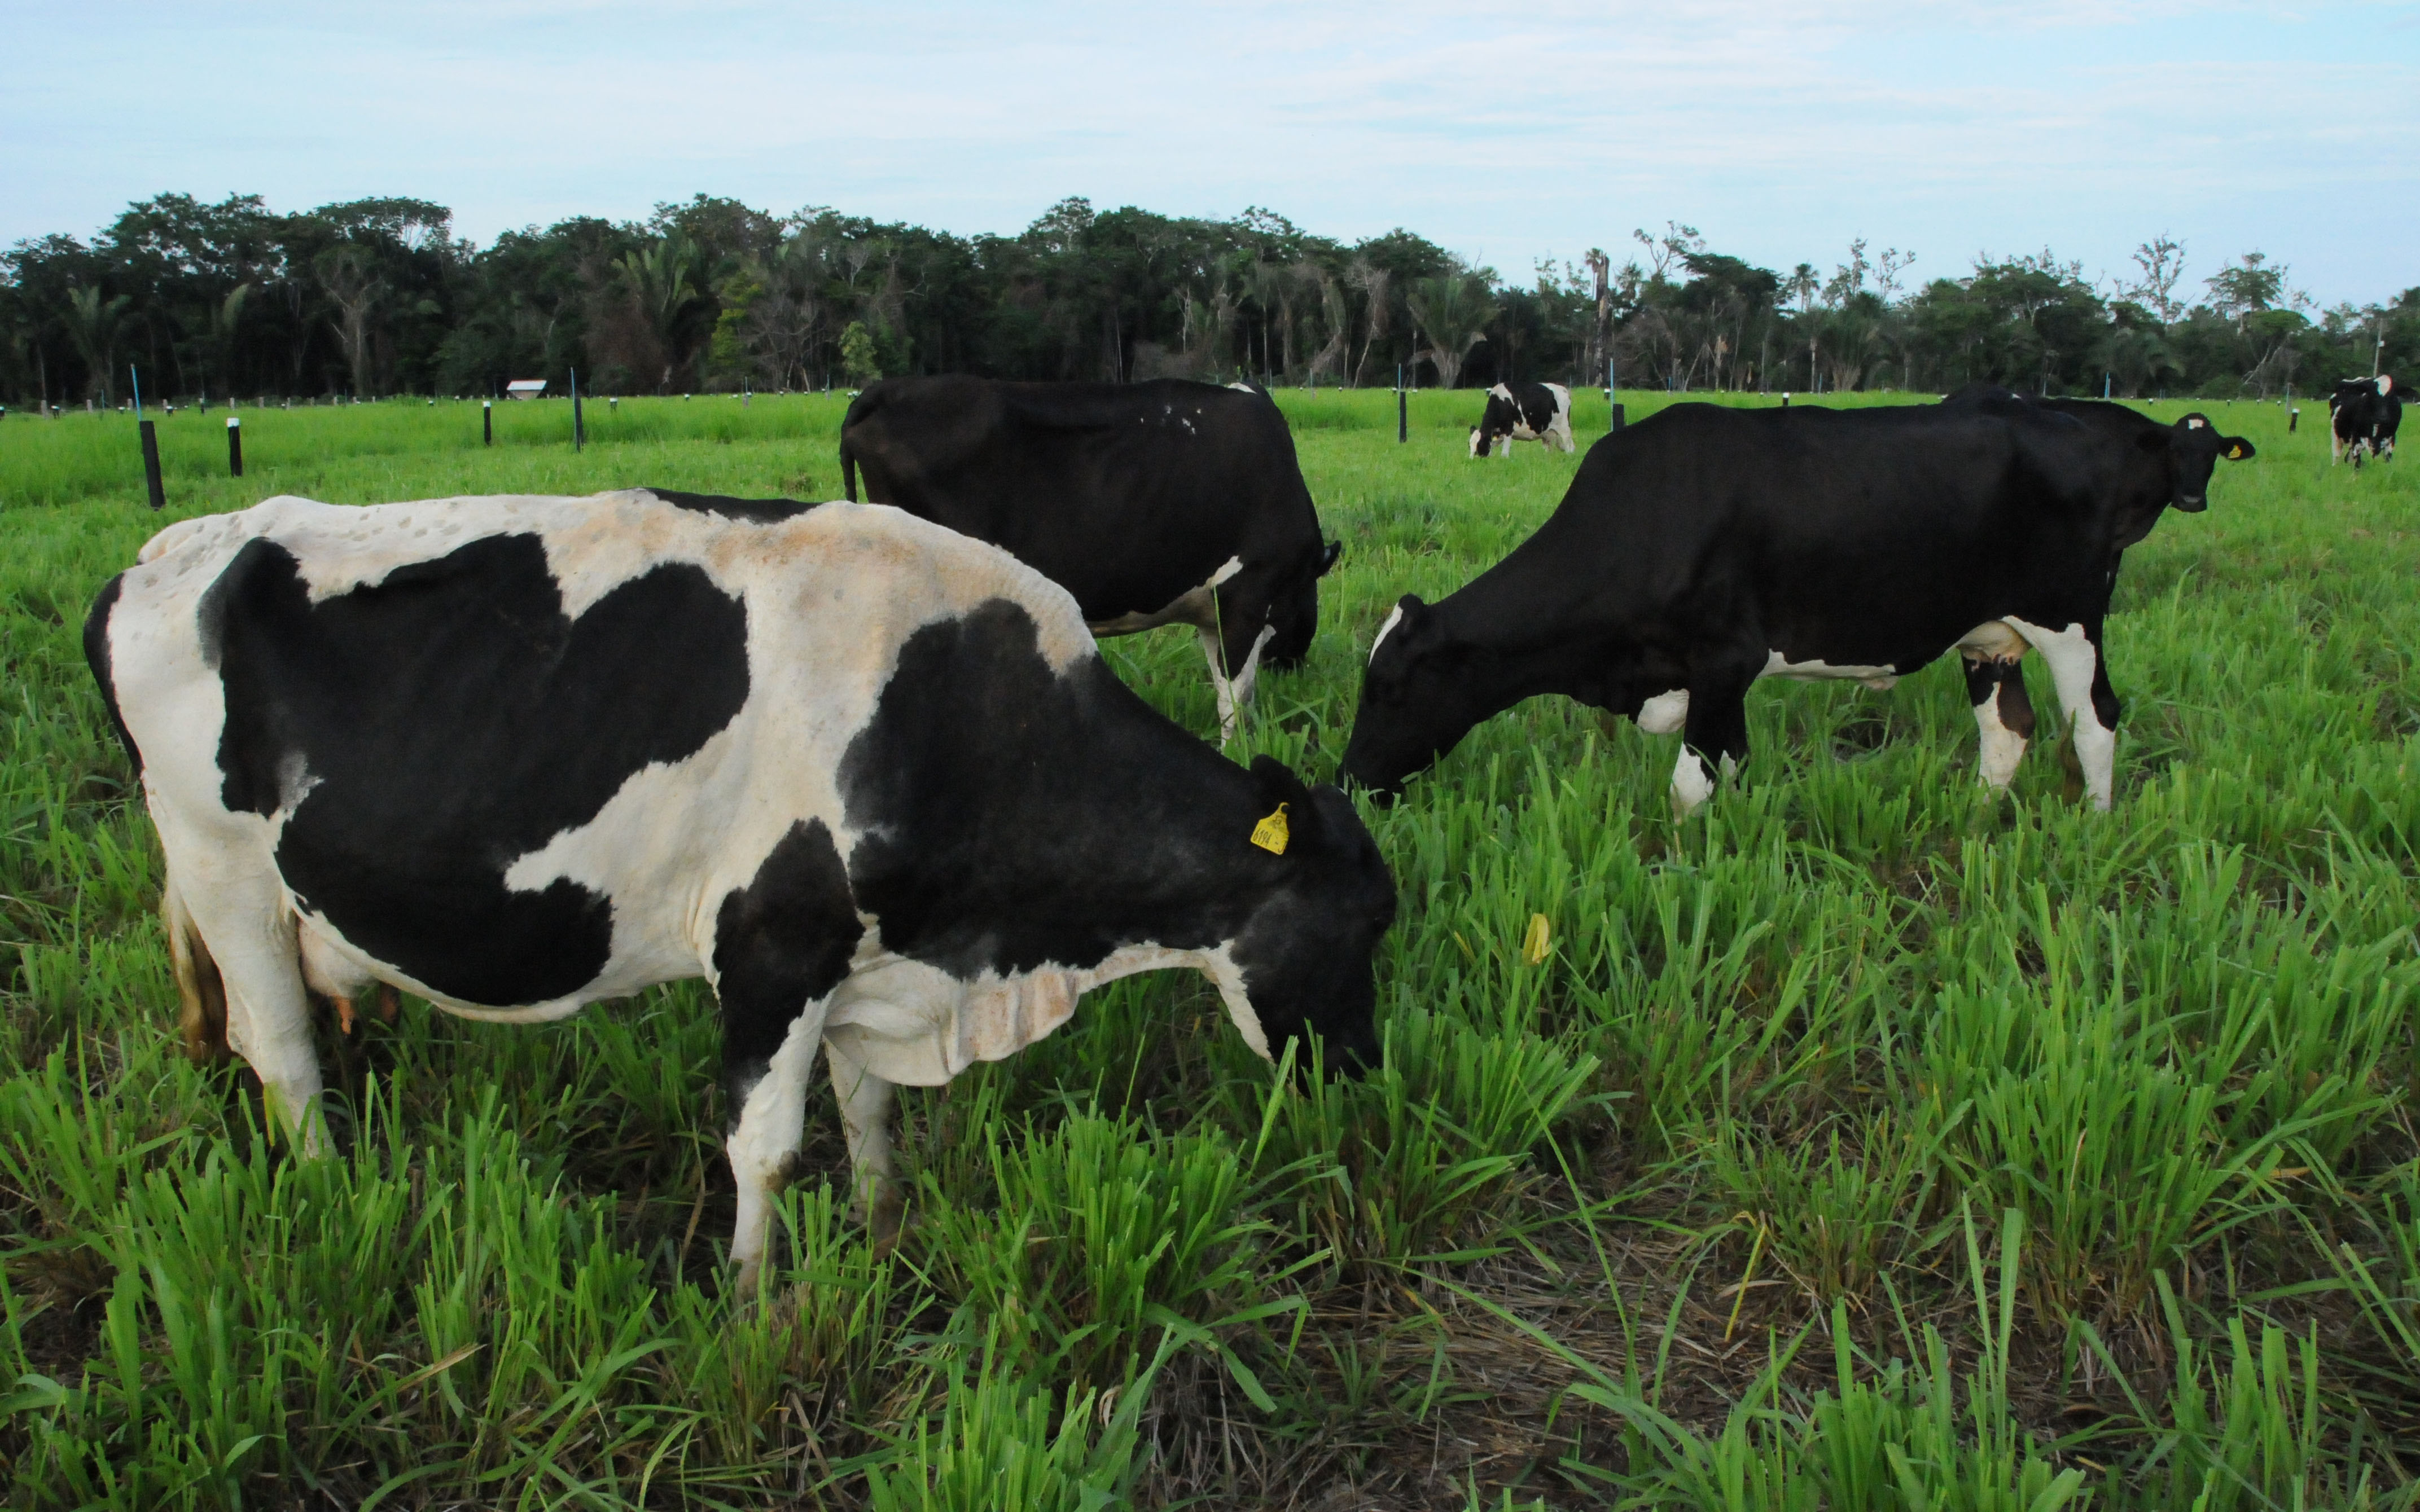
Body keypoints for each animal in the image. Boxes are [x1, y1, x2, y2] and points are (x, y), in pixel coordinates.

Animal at [89, 489, 1404, 1287]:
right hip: (224, 872)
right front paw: (751, 1299)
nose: (1362, 1076)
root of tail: (166, 550)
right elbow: (764, 1147)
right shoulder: (775, 946)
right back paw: (330, 1199)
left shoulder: (868, 961)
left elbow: (869, 1113)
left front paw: (879, 1235)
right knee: (283, 1057)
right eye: (1360, 925)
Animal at [1345, 389, 2246, 812]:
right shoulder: (1712, 680)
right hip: (1988, 633)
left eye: (1388, 688)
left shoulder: (1722, 660)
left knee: (2094, 723)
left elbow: (1692, 786)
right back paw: (1977, 816)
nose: (1351, 782)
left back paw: (2094, 822)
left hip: (2070, 619)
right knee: (2008, 729)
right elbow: (1733, 770)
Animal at [1461, 380, 1577, 457]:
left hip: (1564, 428)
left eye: (1480, 444)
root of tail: (1563, 389)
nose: (1472, 460)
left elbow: (1504, 454)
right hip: (1548, 433)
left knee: (1570, 446)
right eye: (1469, 445)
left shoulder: (1509, 430)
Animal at [2323, 372, 2400, 462]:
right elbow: (2358, 463)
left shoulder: (2391, 440)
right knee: (2337, 456)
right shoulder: (2357, 439)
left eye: (2391, 397)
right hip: (2336, 434)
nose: (2382, 417)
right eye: (2373, 395)